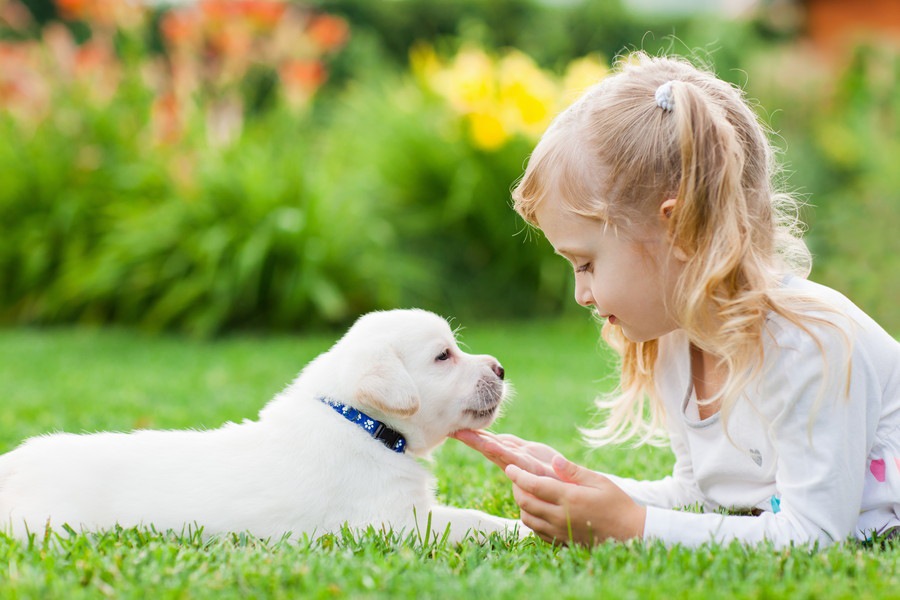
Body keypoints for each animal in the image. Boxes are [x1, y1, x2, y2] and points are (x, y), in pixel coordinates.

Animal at [0, 310, 524, 544]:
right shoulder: (393, 523)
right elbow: (469, 521)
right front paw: (521, 530)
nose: (501, 368)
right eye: (443, 356)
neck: (362, 424)